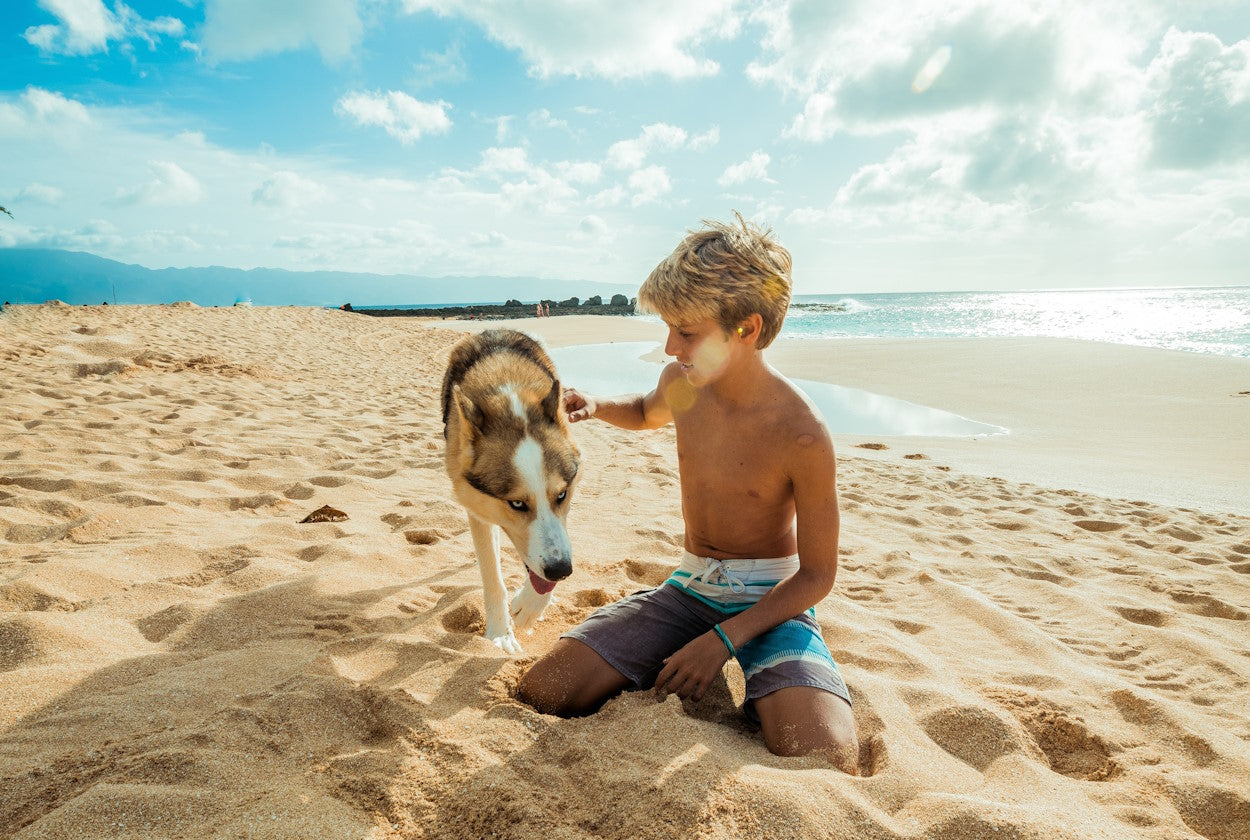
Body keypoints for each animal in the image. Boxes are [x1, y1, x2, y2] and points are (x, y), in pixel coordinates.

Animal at [442, 330, 577, 655]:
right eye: (516, 503)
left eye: (561, 495)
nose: (562, 570)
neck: (509, 395)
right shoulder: (477, 508)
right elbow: (493, 578)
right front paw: (500, 634)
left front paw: (531, 606)